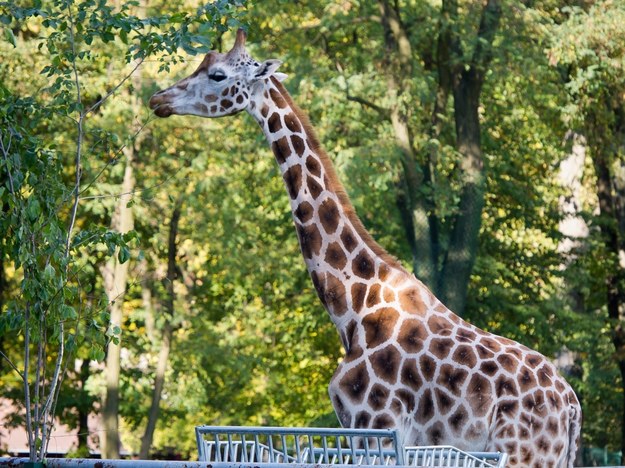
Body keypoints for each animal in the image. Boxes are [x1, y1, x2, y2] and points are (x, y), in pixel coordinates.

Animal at [150, 30, 580, 468]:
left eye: (218, 75)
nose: (158, 99)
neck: (353, 307)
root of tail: (572, 408)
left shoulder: (375, 426)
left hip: (525, 454)